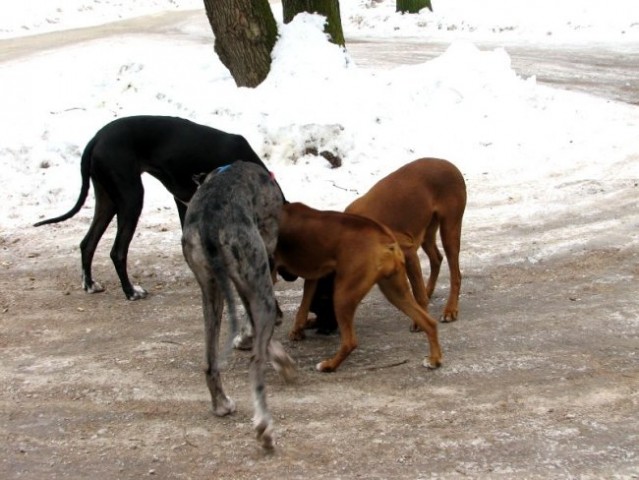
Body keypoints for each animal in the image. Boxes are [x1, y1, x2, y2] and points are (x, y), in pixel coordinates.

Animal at [33, 116, 272, 300]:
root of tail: (96, 139)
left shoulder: (185, 203)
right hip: (131, 198)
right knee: (117, 251)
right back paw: (131, 292)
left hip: (107, 200)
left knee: (87, 243)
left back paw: (90, 284)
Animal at [180, 161, 296, 450]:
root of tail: (209, 223)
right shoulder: (263, 263)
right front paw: (280, 360)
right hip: (258, 283)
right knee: (256, 366)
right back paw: (265, 428)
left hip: (211, 290)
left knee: (210, 363)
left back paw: (221, 404)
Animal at [276, 201, 444, 374]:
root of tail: (386, 240)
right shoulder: (312, 277)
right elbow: (303, 307)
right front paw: (297, 330)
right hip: (395, 292)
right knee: (429, 323)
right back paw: (434, 360)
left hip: (343, 295)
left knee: (350, 342)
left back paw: (329, 365)